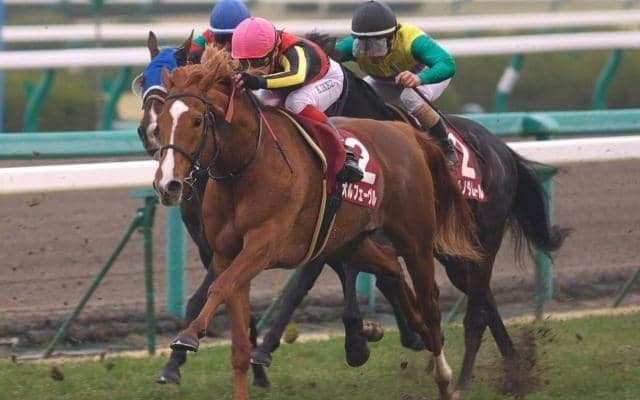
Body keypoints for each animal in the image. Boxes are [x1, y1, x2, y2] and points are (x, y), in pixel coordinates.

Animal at [152, 46, 481, 400]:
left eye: (197, 121)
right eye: (160, 124)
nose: (168, 185)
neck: (247, 167)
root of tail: (406, 132)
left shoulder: (262, 247)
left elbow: (220, 286)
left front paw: (188, 335)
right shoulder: (227, 253)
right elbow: (237, 344)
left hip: (415, 238)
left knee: (431, 302)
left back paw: (444, 377)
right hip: (351, 243)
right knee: (391, 267)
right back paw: (400, 332)